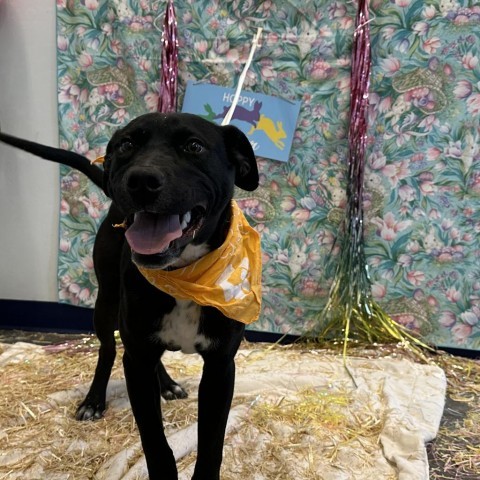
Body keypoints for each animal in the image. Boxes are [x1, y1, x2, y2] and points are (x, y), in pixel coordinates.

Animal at [0, 110, 258, 478]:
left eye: (194, 146)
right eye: (126, 145)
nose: (141, 180)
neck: (182, 275)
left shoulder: (220, 367)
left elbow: (211, 443)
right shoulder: (136, 361)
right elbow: (154, 440)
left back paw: (166, 384)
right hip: (106, 304)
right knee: (108, 350)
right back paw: (94, 401)